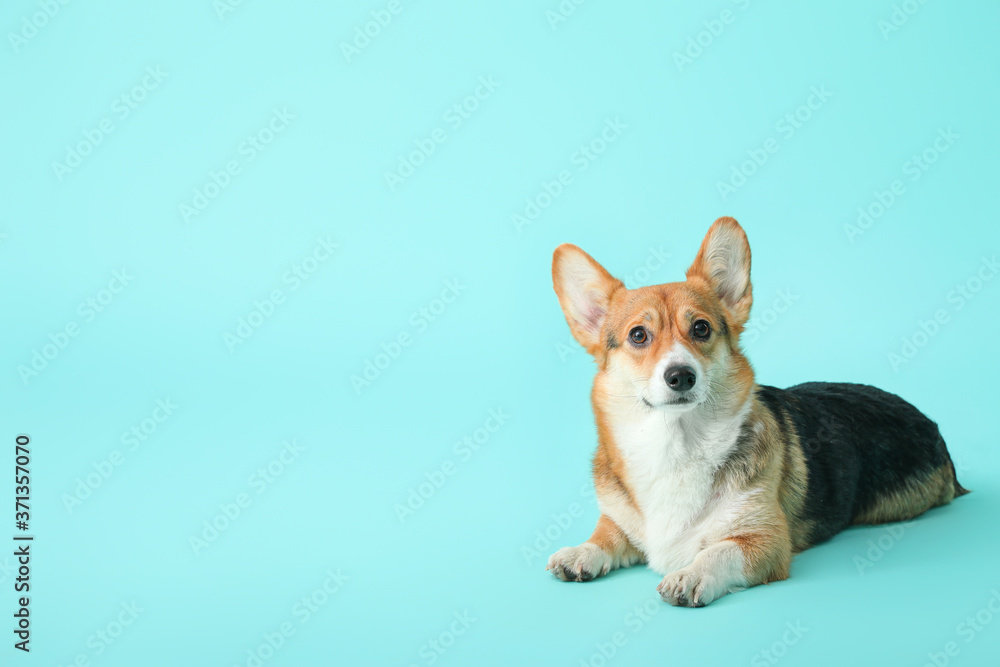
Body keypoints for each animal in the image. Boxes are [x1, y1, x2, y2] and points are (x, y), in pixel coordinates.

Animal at [548, 218, 968, 604]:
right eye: (638, 335)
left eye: (701, 329)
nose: (681, 376)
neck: (677, 443)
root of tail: (932, 425)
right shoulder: (621, 520)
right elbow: (606, 533)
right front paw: (581, 551)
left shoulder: (765, 541)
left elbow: (718, 551)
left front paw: (690, 574)